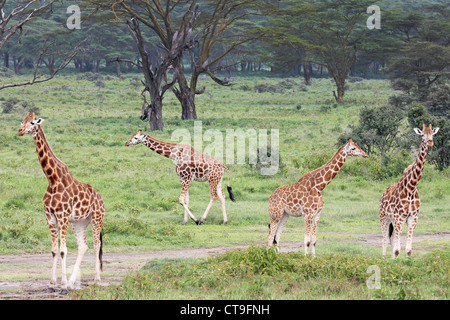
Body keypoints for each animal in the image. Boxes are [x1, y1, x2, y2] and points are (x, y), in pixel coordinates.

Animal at [17, 112, 104, 292]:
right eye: (22, 121)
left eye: (32, 122)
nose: (20, 131)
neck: (52, 179)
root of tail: (101, 197)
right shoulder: (50, 216)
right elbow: (54, 250)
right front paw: (52, 283)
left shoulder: (62, 216)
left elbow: (63, 250)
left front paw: (63, 285)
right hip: (79, 222)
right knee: (83, 246)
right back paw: (72, 281)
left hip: (96, 218)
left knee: (96, 244)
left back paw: (96, 279)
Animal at [380, 124, 440, 258]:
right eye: (422, 134)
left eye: (432, 134)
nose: (430, 142)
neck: (411, 189)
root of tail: (383, 193)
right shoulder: (400, 217)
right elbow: (397, 250)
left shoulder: (413, 217)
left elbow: (407, 250)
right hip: (384, 217)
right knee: (385, 239)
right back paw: (384, 257)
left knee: (391, 238)